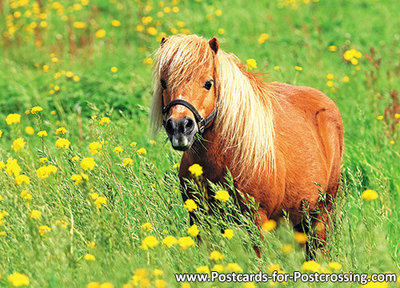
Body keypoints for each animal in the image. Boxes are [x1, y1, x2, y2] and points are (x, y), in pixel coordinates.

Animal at [150, 34, 344, 254]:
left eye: (208, 83)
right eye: (164, 83)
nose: (180, 126)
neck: (227, 157)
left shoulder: (256, 220)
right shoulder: (199, 219)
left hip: (321, 215)